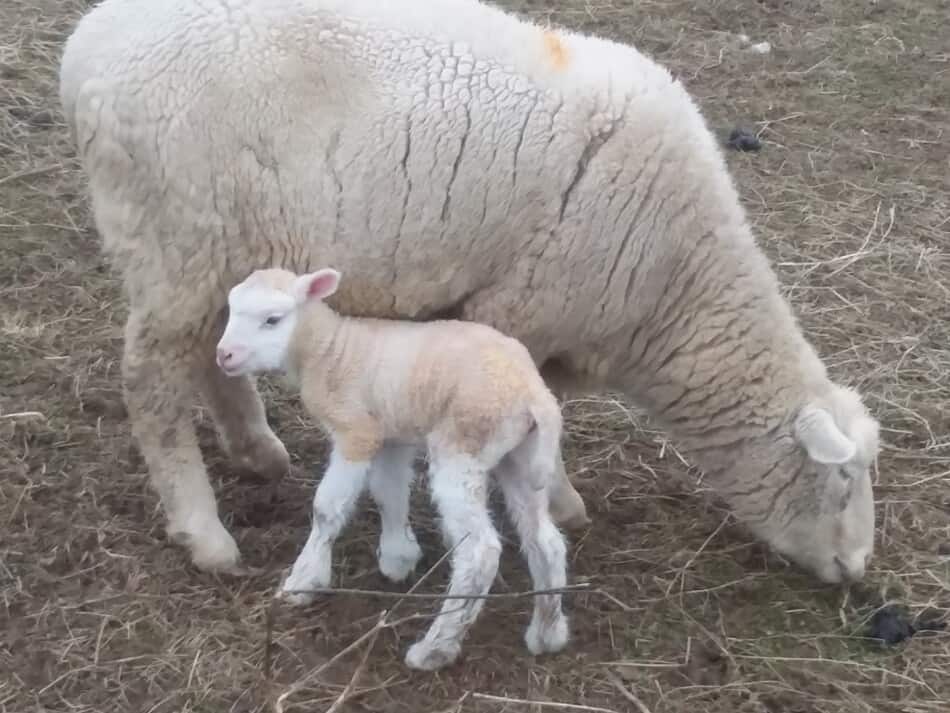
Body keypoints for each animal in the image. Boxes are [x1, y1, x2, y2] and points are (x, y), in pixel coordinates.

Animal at [55, 0, 880, 584]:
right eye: (841, 484)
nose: (856, 571)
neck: (674, 294)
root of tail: (86, 47)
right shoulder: (519, 313)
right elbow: (541, 417)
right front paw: (559, 502)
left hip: (209, 250)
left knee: (213, 354)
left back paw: (257, 450)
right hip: (176, 236)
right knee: (150, 382)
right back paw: (205, 533)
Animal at [217, 266, 572, 668]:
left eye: (273, 319)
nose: (223, 355)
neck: (328, 348)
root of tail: (534, 395)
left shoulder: (356, 432)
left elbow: (326, 509)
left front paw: (305, 579)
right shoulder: (389, 436)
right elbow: (389, 492)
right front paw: (398, 557)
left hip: (462, 447)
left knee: (480, 553)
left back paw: (435, 649)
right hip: (522, 456)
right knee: (546, 541)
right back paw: (547, 632)